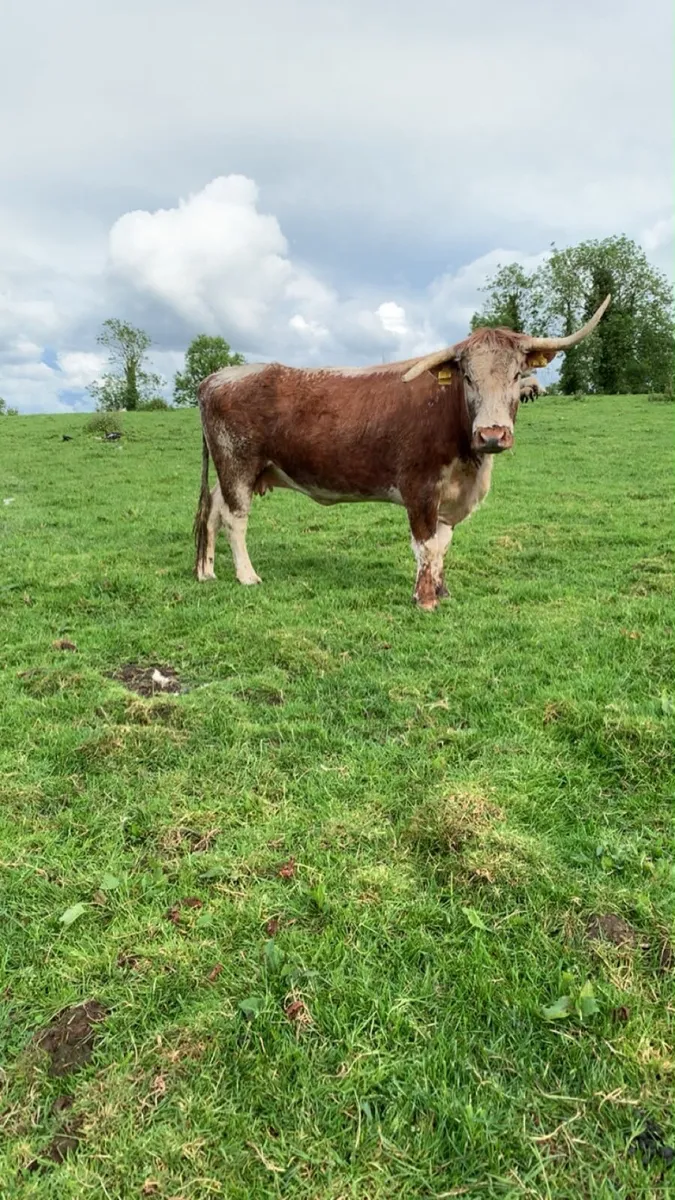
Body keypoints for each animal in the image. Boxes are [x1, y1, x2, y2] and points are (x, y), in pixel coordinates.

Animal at [193, 296, 610, 611]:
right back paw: (247, 576)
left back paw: (207, 571)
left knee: (212, 509)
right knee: (234, 518)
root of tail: (216, 377)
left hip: (235, 471)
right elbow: (425, 545)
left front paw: (442, 591)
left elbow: (442, 546)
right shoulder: (420, 489)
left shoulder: (447, 497)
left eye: (516, 376)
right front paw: (425, 600)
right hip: (238, 465)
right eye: (468, 377)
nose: (492, 434)